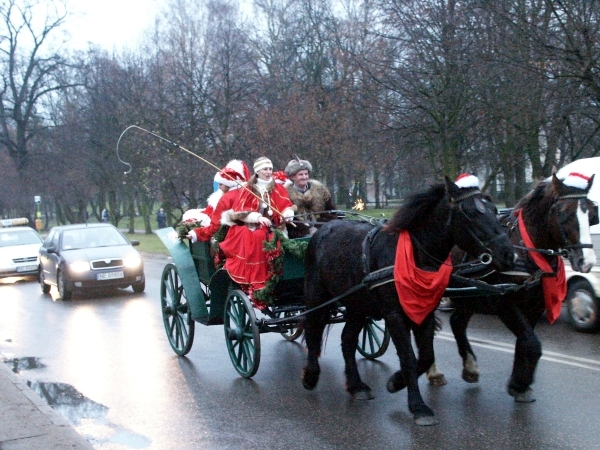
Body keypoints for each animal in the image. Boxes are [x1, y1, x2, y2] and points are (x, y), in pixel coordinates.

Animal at [302, 176, 516, 426]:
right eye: (472, 213)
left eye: (494, 210)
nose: (509, 254)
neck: (414, 254)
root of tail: (323, 229)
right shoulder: (395, 316)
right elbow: (408, 358)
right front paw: (419, 407)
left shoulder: (425, 312)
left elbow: (425, 357)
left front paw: (396, 382)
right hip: (317, 297)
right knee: (312, 329)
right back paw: (311, 375)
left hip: (358, 306)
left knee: (347, 339)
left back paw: (356, 386)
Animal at [434, 174, 596, 402]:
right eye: (564, 214)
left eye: (591, 213)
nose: (588, 262)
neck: (526, 249)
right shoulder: (503, 301)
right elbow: (532, 343)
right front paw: (520, 383)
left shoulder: (535, 305)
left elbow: (525, 341)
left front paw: (520, 385)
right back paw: (434, 371)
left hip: (471, 295)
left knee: (457, 322)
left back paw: (470, 368)